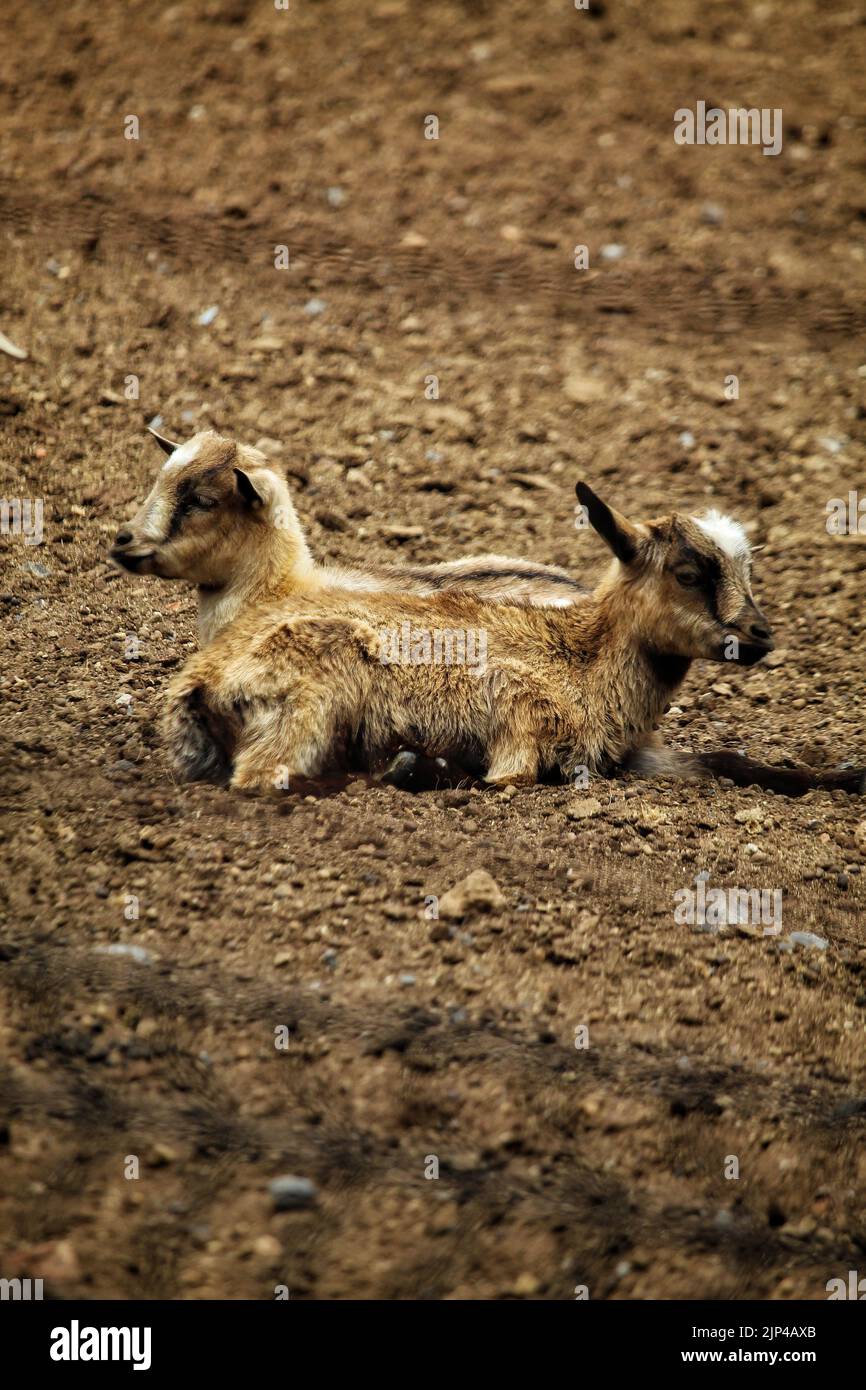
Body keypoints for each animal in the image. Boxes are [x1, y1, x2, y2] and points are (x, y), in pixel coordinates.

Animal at [159, 486, 861, 795]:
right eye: (689, 574)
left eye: (749, 570)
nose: (761, 635)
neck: (583, 655)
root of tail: (197, 684)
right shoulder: (521, 734)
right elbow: (513, 778)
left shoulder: (629, 755)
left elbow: (729, 763)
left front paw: (843, 777)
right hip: (309, 702)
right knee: (263, 779)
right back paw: (405, 768)